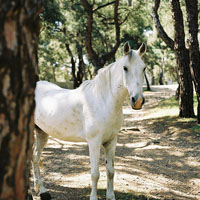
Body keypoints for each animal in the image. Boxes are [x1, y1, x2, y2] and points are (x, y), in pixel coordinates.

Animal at [32, 42, 145, 200]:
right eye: (125, 68)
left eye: (144, 68)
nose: (138, 101)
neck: (102, 100)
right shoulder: (94, 142)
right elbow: (95, 174)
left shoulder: (111, 141)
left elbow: (110, 171)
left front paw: (111, 196)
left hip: (42, 133)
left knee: (35, 157)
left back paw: (42, 191)